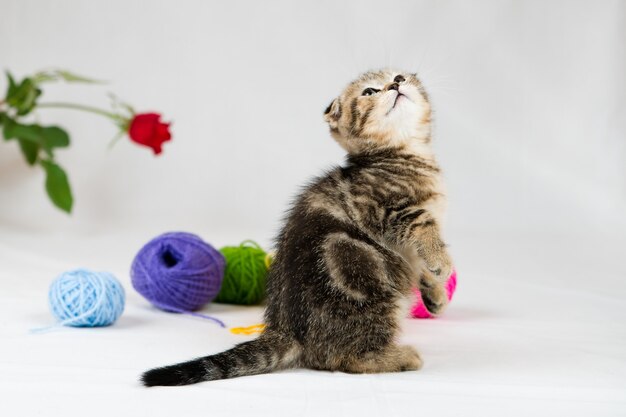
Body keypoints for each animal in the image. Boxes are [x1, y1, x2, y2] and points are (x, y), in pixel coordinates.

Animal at [143, 67, 448, 384]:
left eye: (399, 76)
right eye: (369, 92)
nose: (395, 84)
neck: (405, 152)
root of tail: (285, 329)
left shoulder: (409, 241)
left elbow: (421, 260)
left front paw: (435, 292)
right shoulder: (381, 210)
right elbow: (423, 228)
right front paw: (442, 262)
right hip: (367, 286)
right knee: (346, 358)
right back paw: (400, 357)